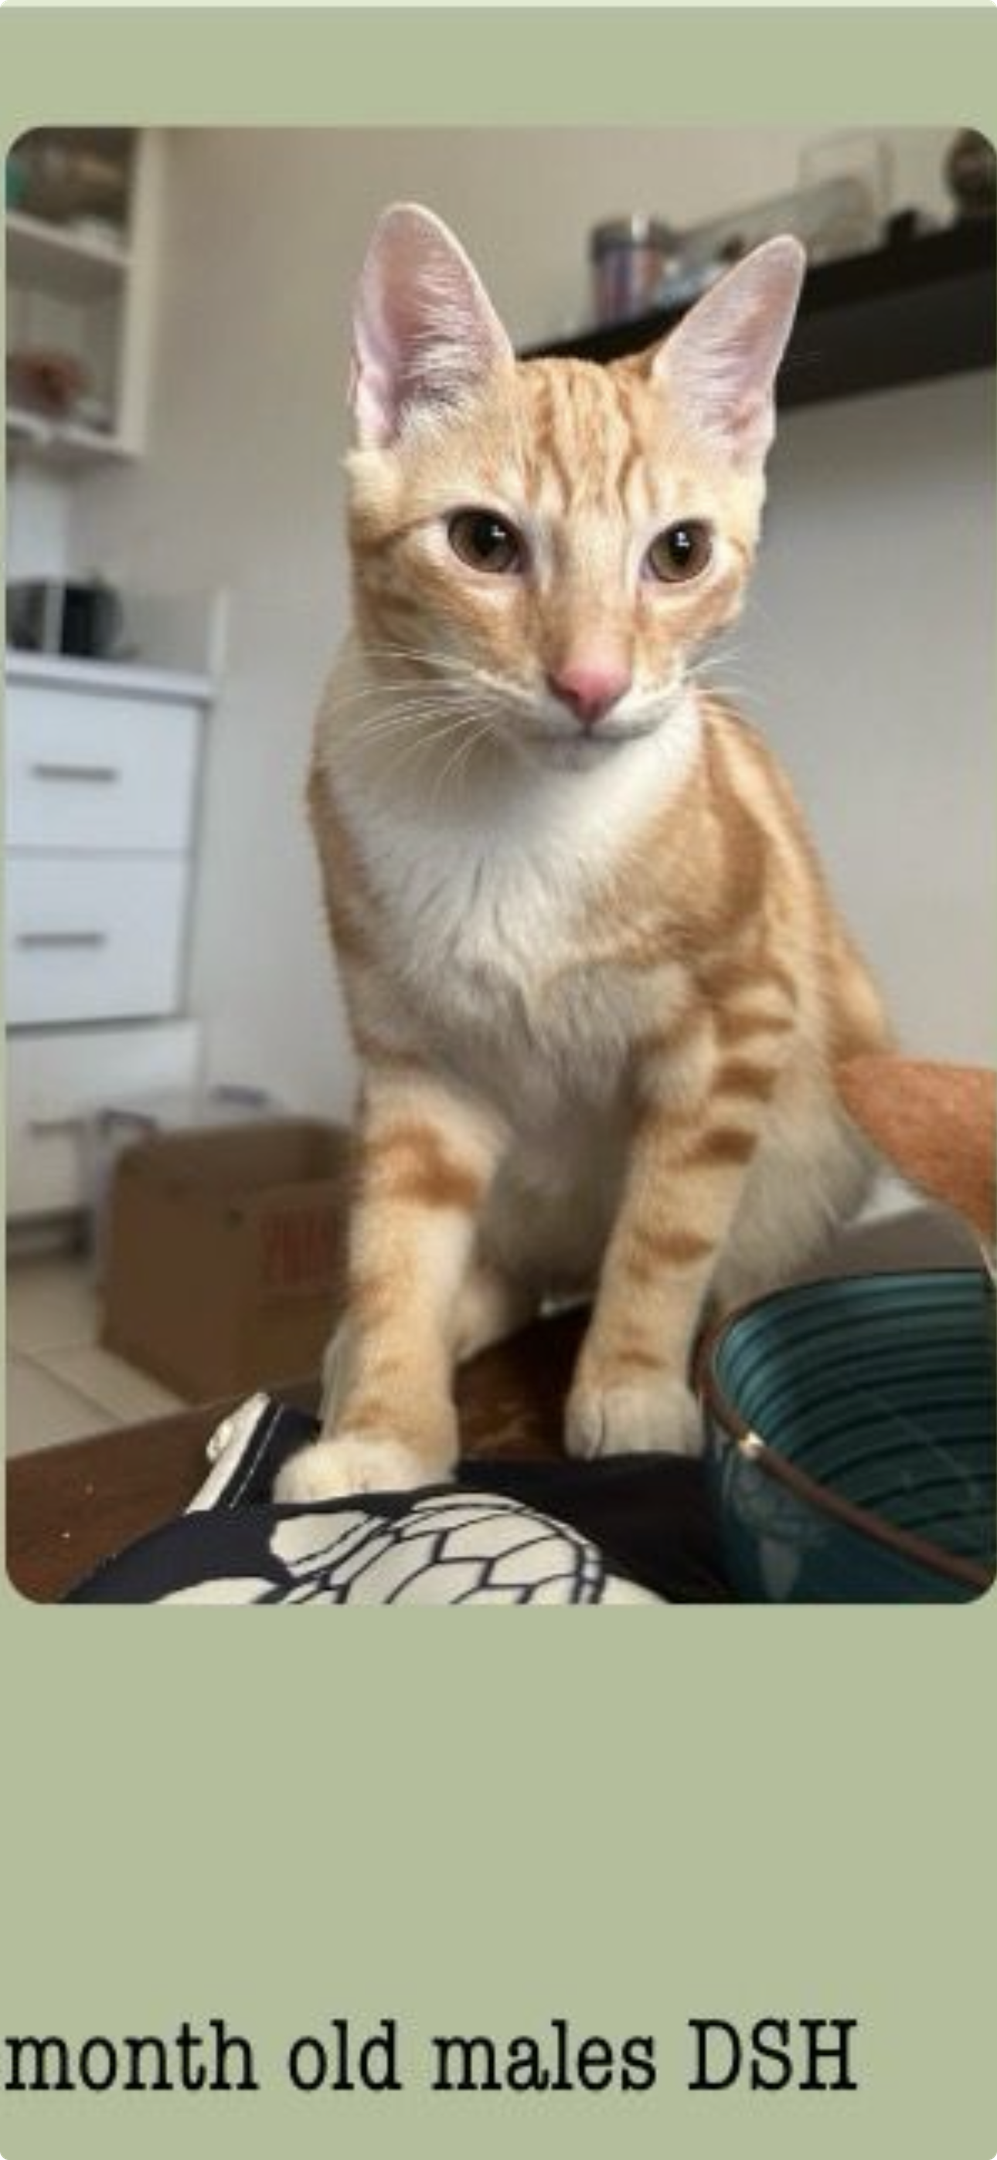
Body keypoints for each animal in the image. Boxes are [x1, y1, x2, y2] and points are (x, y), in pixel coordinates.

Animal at [274, 202, 891, 1504]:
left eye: (679, 553)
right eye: (483, 540)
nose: (594, 683)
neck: (517, 830)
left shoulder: (737, 1023)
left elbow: (664, 1233)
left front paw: (635, 1389)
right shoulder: (413, 1068)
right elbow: (394, 1248)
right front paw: (383, 1431)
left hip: (826, 1120)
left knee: (713, 1256)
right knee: (495, 1276)